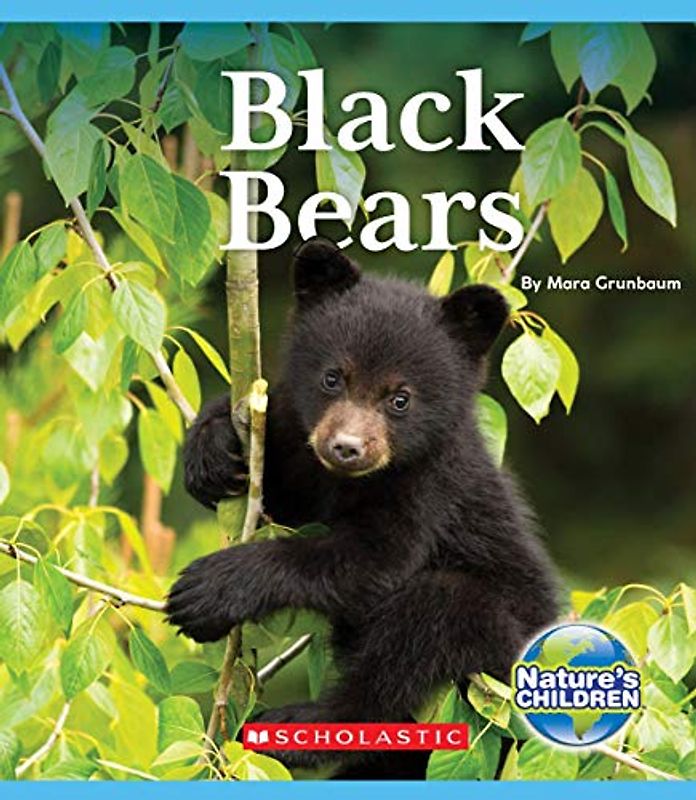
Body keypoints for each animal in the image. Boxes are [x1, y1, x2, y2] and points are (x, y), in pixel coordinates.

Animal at [167, 238, 560, 777]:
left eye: (400, 398)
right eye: (333, 377)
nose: (346, 447)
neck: (352, 480)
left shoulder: (428, 488)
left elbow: (372, 560)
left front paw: (209, 590)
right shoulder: (306, 460)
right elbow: (282, 491)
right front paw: (212, 448)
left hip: (504, 653)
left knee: (422, 627)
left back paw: (302, 727)